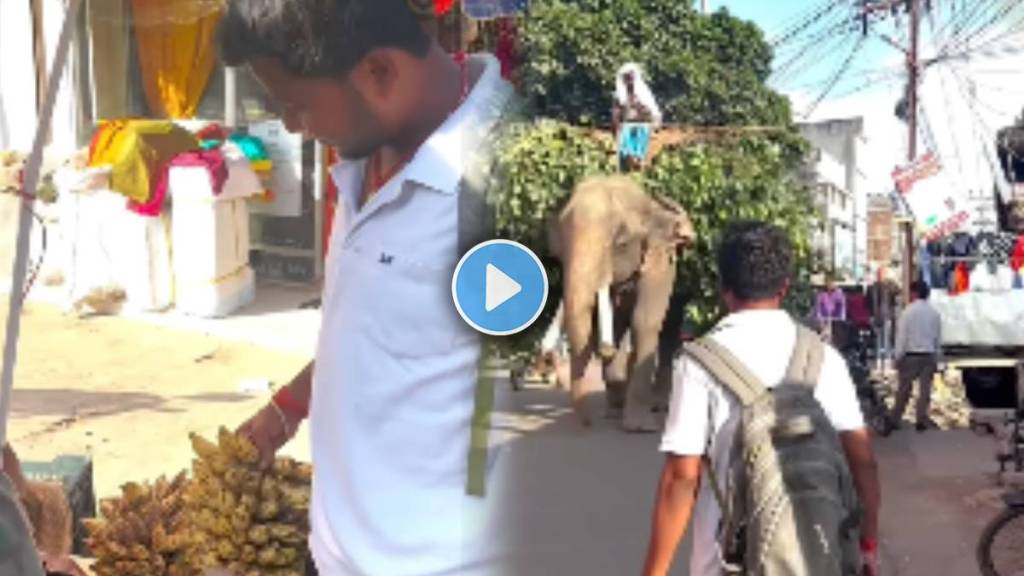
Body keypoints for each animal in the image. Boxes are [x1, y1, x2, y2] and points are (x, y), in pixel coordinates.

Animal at [544, 175, 696, 430]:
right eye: (559, 250)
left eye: (621, 244)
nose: (587, 424)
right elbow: (615, 326)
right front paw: (615, 412)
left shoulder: (659, 263)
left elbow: (644, 321)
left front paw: (639, 427)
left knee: (668, 334)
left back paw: (659, 406)